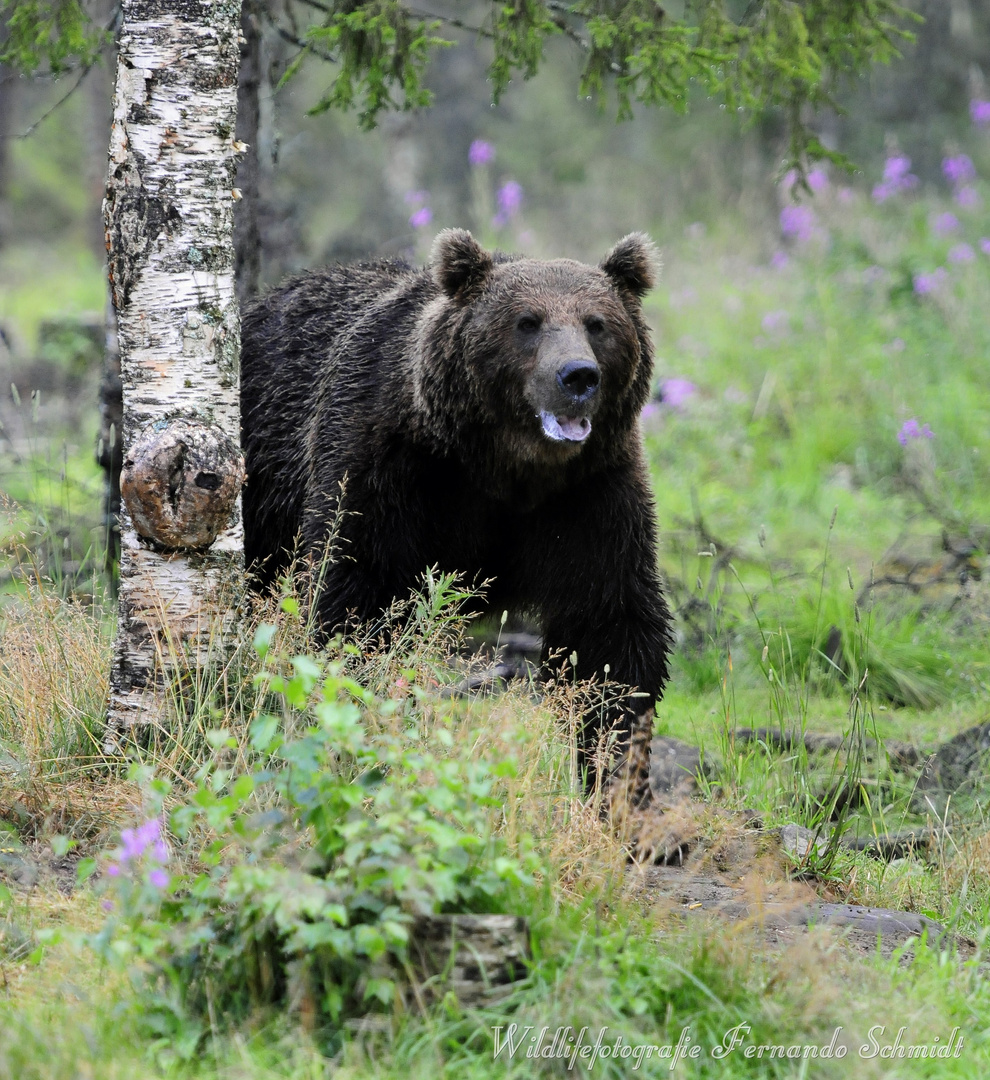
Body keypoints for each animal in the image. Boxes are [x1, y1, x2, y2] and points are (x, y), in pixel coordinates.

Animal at [239, 227, 673, 803]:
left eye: (597, 323)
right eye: (527, 322)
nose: (578, 376)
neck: (504, 467)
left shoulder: (590, 494)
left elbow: (610, 632)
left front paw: (617, 784)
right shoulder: (388, 466)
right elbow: (358, 598)